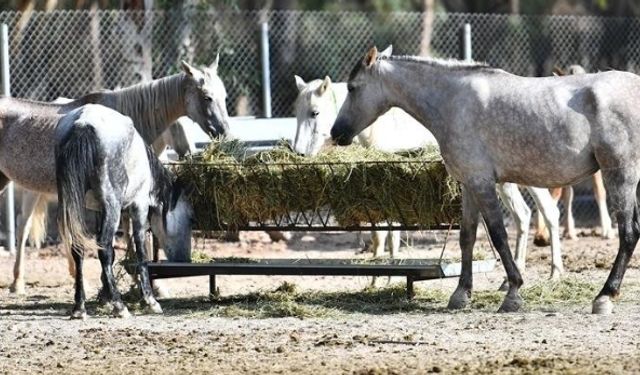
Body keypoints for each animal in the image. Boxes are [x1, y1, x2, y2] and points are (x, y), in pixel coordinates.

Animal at [292, 61, 564, 280]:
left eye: (315, 112)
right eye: (296, 113)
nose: (299, 153)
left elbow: (387, 236)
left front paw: (382, 277)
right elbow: (381, 236)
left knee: (548, 212)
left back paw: (554, 273)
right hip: (505, 182)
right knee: (524, 215)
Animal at [330, 45, 640, 314]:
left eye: (352, 87)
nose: (336, 133)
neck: (453, 101)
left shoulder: (482, 182)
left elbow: (498, 235)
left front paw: (513, 293)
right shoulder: (469, 184)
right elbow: (467, 236)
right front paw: (460, 294)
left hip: (619, 175)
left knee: (627, 233)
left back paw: (604, 297)